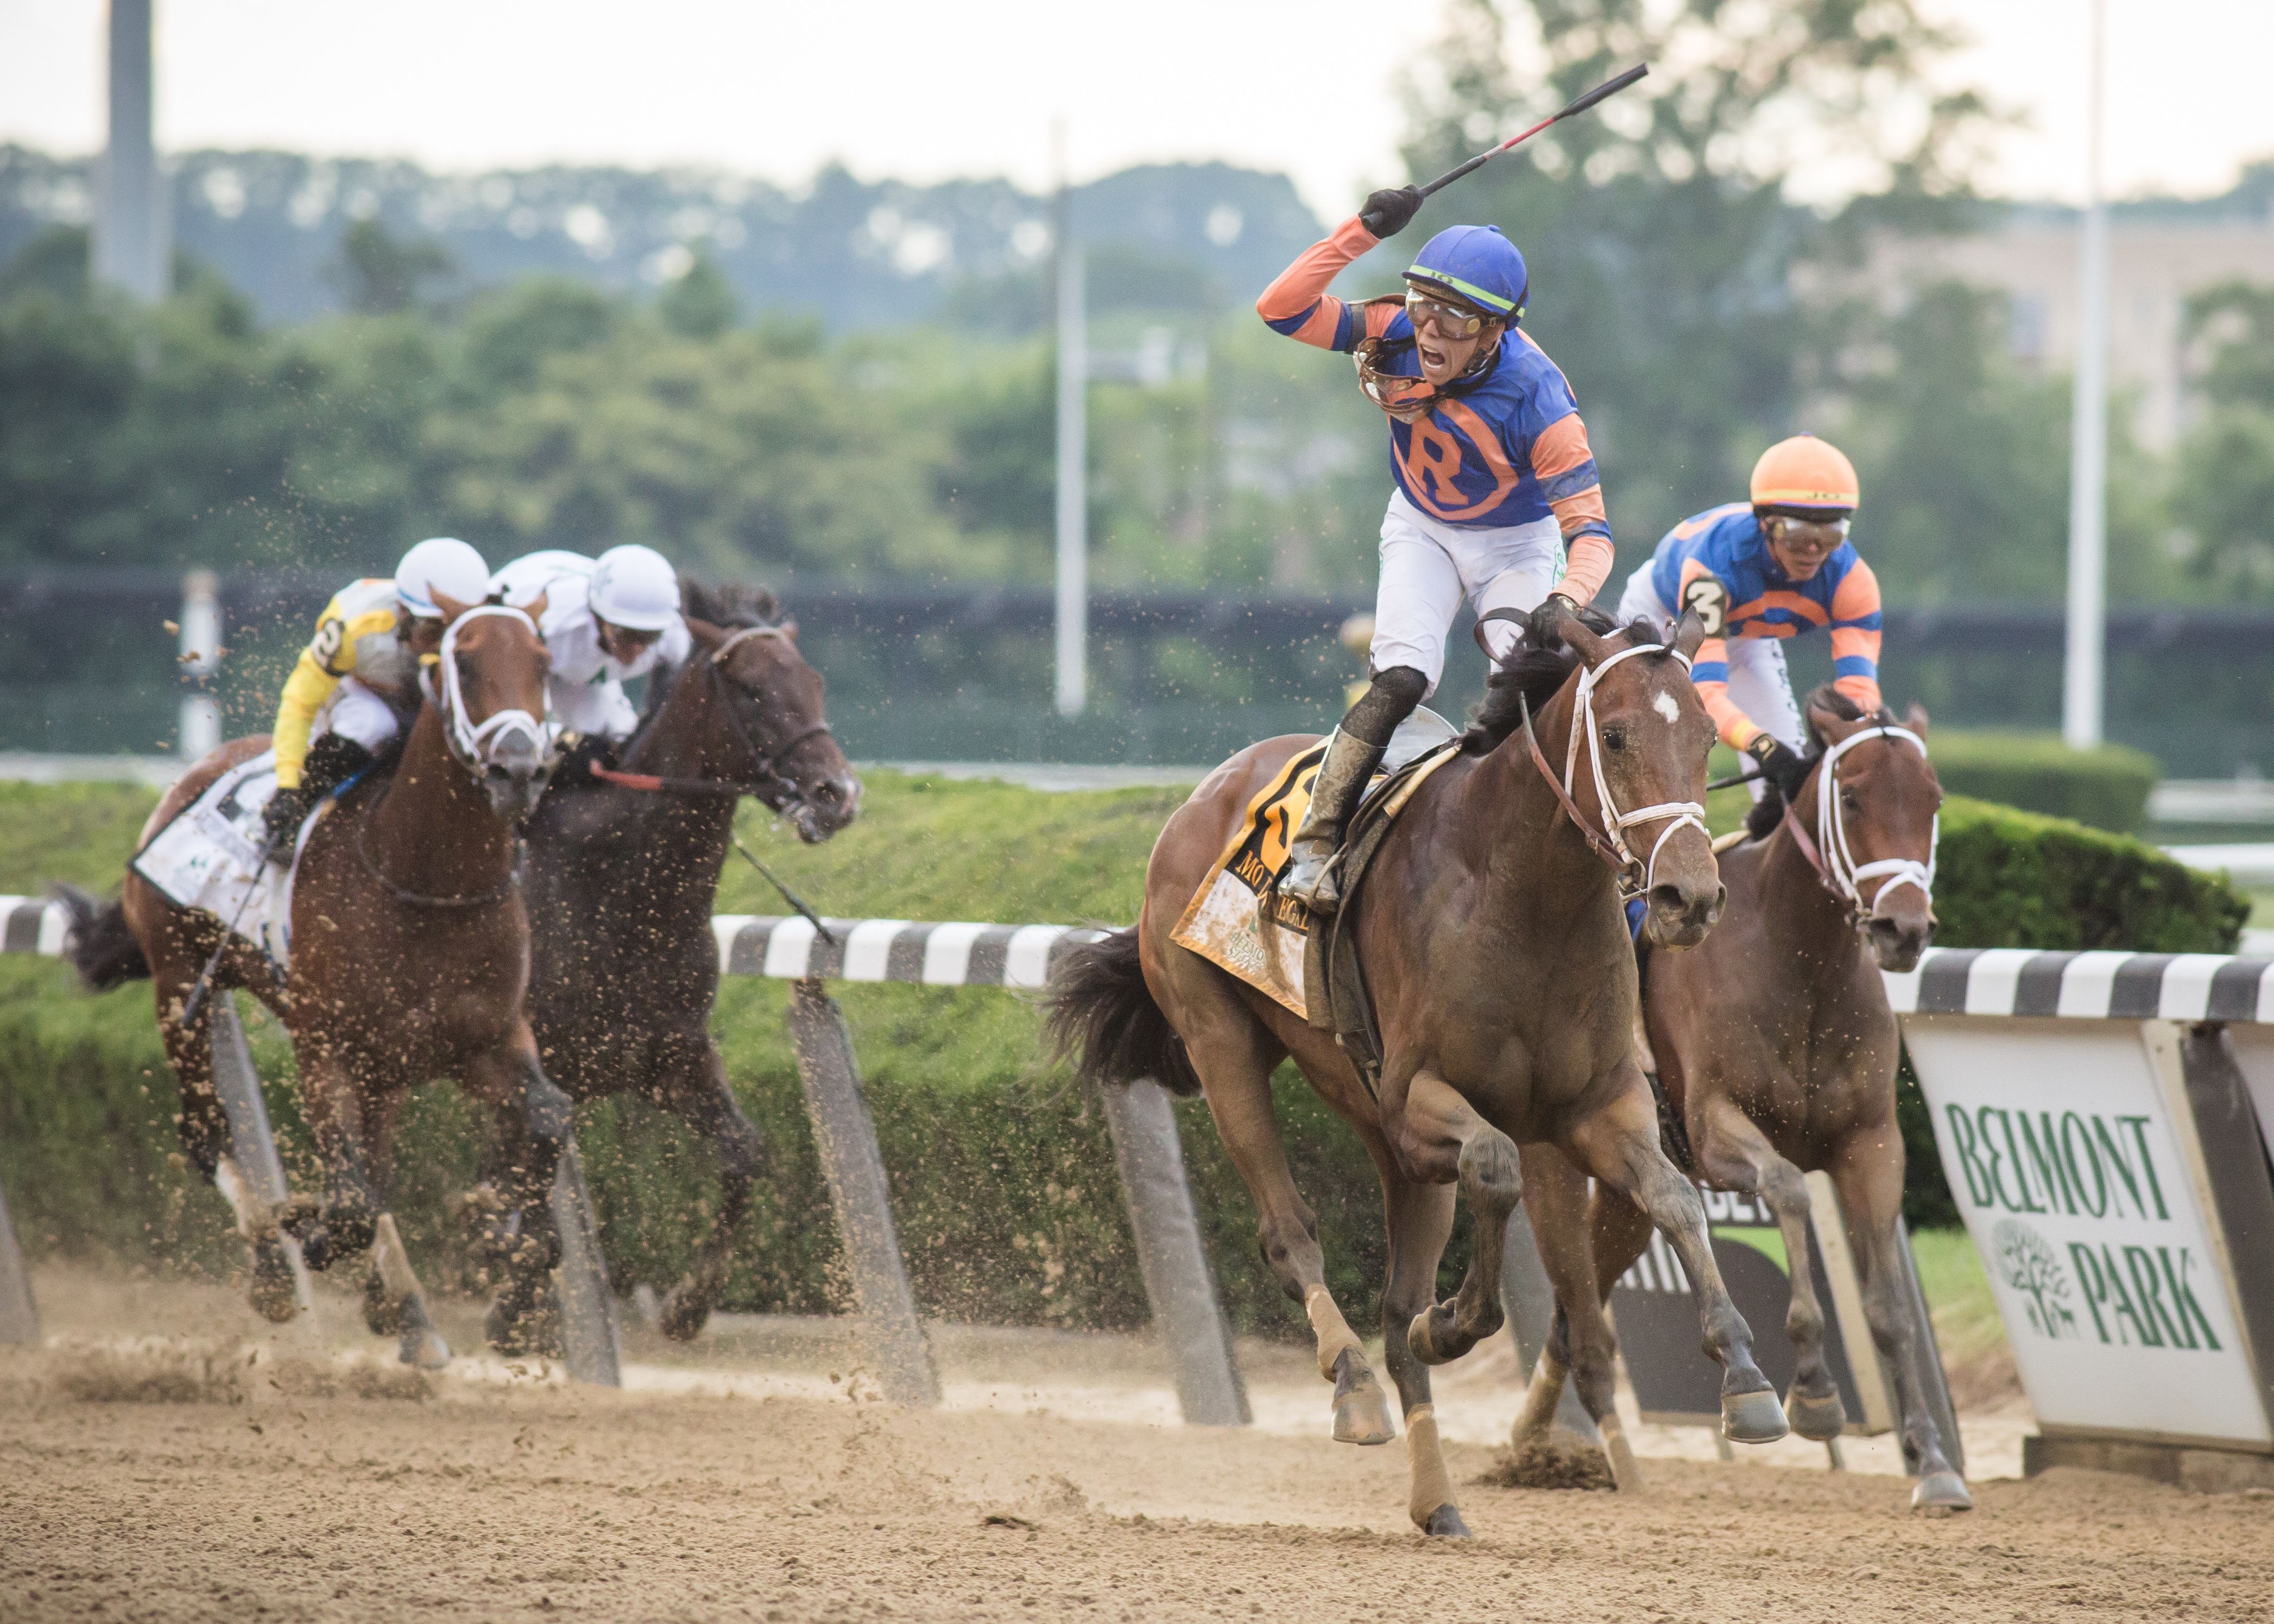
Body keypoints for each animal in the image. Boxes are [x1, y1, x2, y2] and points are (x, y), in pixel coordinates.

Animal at [66, 596, 564, 1355]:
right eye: (466, 662)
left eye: (543, 663)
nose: (519, 771)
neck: (427, 882)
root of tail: (197, 770)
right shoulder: (326, 1046)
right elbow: (351, 1201)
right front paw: (308, 1227)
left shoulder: (486, 1040)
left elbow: (546, 1119)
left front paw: (521, 1273)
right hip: (181, 986)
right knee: (207, 1133)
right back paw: (276, 1268)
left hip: (383, 1070)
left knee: (375, 1163)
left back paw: (401, 1307)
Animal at [516, 575, 860, 1337]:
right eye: (753, 690)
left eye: (816, 682)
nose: (838, 795)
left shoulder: (669, 1057)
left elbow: (747, 1153)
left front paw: (689, 1303)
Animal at [1050, 609, 1792, 1528]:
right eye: (1616, 734)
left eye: (1701, 735)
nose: (1691, 897)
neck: (1525, 895)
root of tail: (1205, 791)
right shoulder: (1418, 1103)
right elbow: (1497, 1164)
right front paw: (1455, 1322)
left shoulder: (1597, 1106)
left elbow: (1676, 1198)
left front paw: (1748, 1379)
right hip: (1220, 1041)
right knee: (1289, 1231)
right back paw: (1354, 1382)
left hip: (1384, 1137)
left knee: (1396, 1298)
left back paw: (1437, 1498)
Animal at [1509, 678, 1974, 1501]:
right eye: (1852, 796)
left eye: (1933, 796)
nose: (1904, 929)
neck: (1801, 964)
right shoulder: (1716, 1127)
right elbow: (1788, 1189)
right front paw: (1813, 1389)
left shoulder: (1872, 1143)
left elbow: (1890, 1308)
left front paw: (1934, 1463)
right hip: (1561, 1159)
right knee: (1572, 1291)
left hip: (1629, 1194)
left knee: (1577, 1303)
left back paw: (1536, 1438)